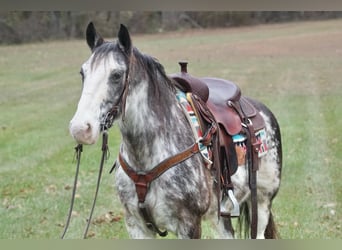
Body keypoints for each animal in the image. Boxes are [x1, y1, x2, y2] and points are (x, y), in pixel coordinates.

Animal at [69, 23, 284, 238]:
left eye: (116, 75)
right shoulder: (136, 225)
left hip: (262, 201)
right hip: (221, 214)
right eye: (82, 73)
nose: (80, 128)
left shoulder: (189, 225)